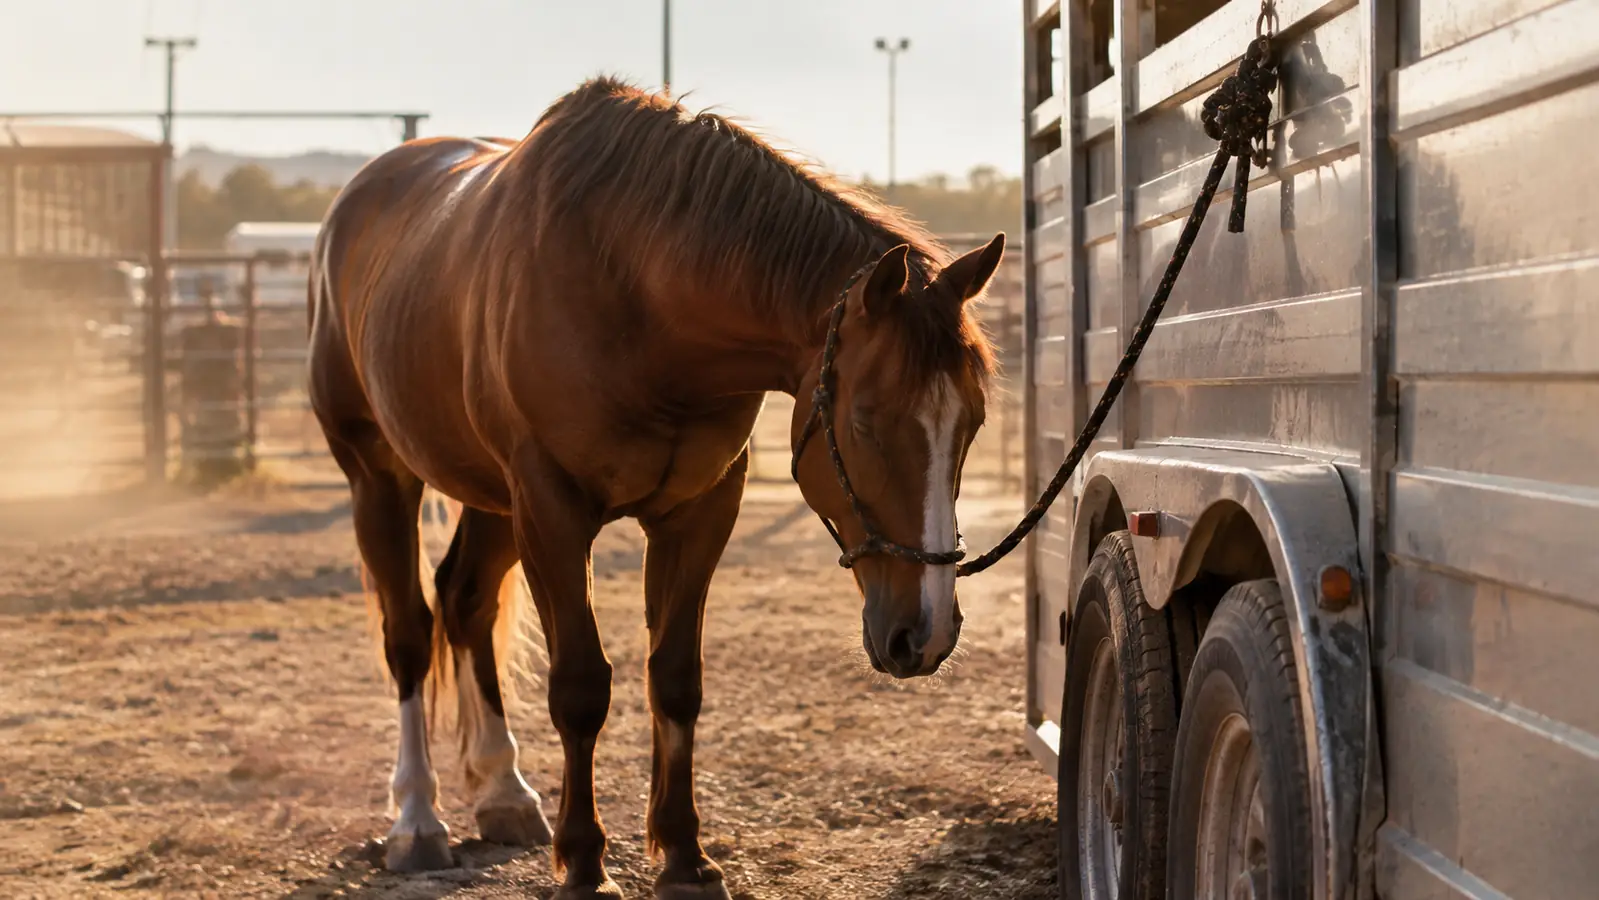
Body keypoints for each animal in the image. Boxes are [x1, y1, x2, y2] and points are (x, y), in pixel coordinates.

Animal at [308, 76, 1005, 899]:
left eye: (972, 423)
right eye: (865, 422)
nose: (923, 634)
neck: (636, 297)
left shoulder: (698, 512)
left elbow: (675, 678)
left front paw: (683, 857)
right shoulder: (551, 510)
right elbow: (580, 688)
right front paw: (584, 865)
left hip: (491, 501)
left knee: (465, 601)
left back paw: (503, 791)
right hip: (380, 475)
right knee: (410, 635)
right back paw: (418, 821)